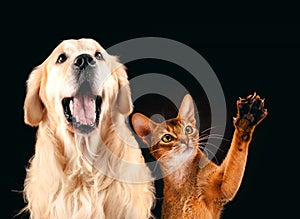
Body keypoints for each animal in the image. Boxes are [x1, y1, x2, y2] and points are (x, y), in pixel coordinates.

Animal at [131, 93, 268, 218]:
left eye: (188, 129)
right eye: (167, 138)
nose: (185, 140)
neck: (181, 178)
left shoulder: (223, 188)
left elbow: (235, 155)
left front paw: (246, 120)